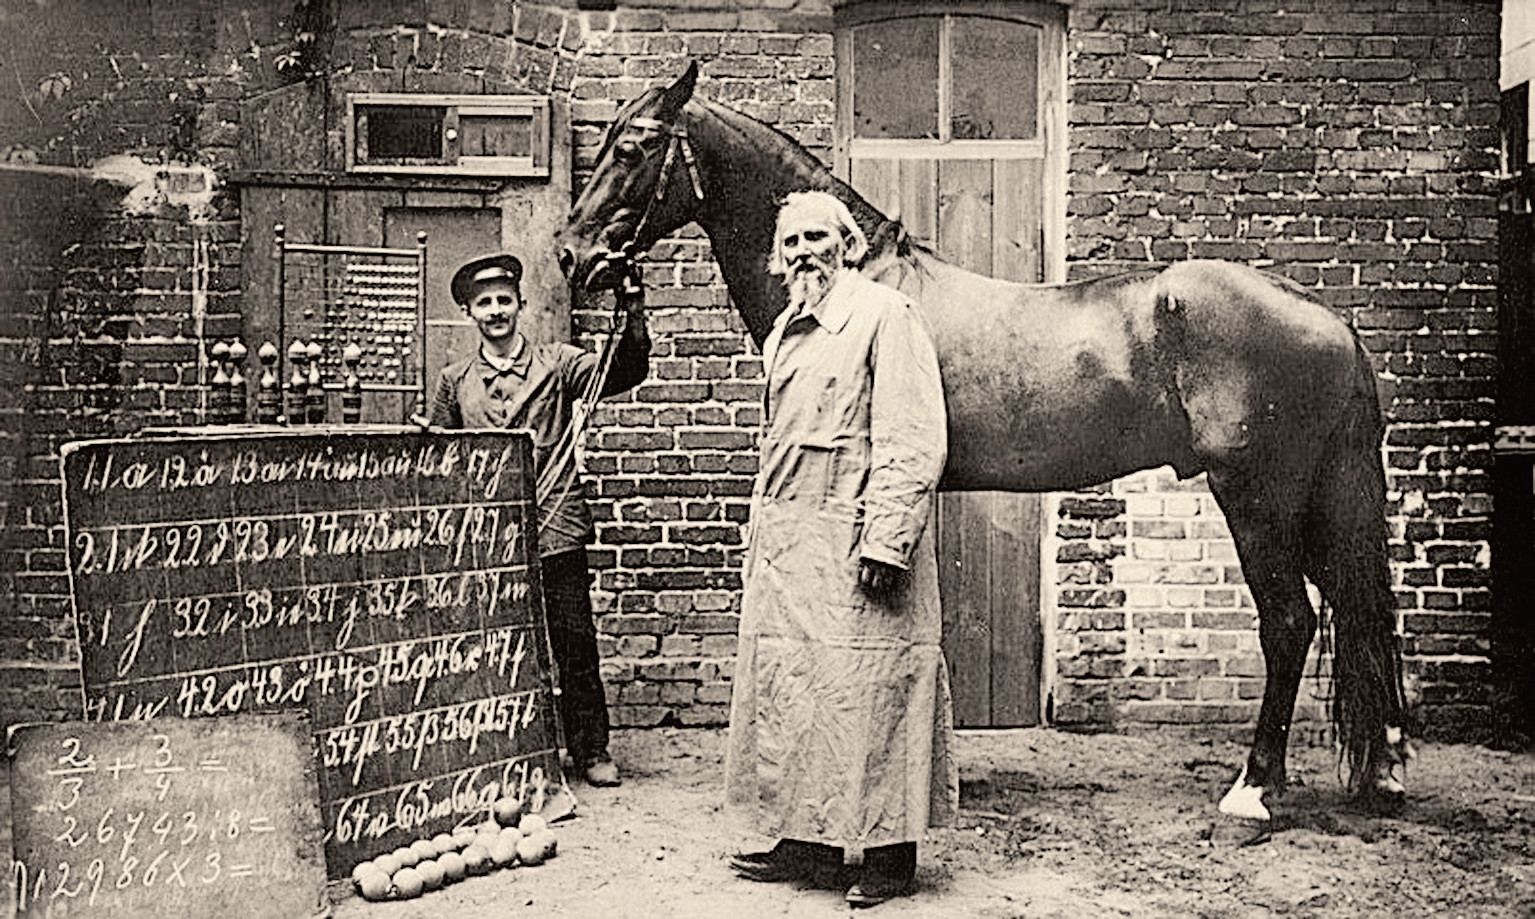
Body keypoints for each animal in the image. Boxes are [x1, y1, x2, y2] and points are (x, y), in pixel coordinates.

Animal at [556, 62, 1413, 839]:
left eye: (632, 147)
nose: (572, 254)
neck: (864, 289)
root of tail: (1330, 322)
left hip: (1257, 497)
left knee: (1289, 623)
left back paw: (1251, 791)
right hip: (1315, 500)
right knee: (1359, 608)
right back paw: (1382, 772)